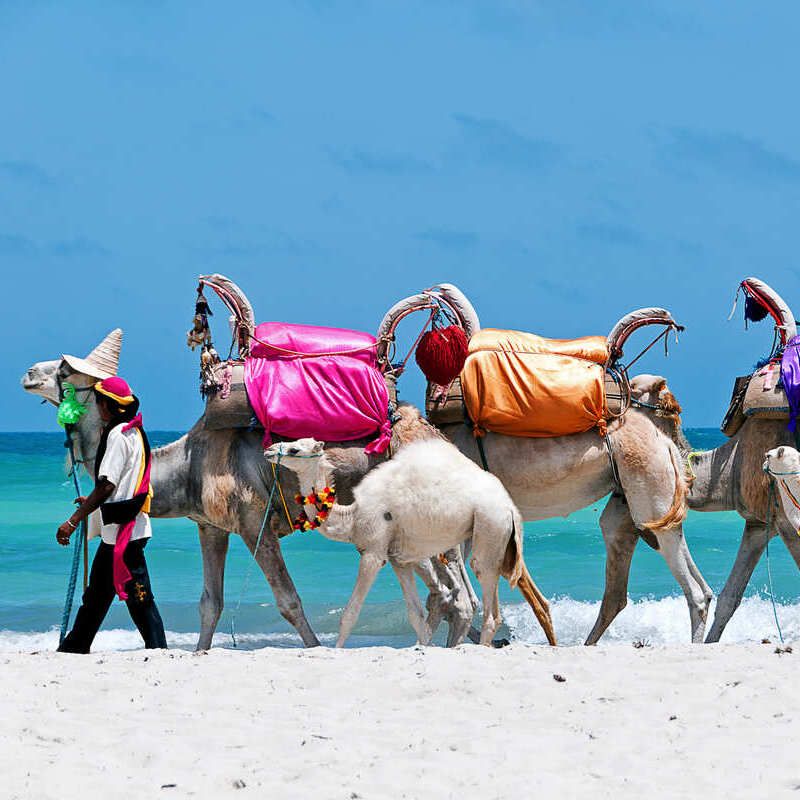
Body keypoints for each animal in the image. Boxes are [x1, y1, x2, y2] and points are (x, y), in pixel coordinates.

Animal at [264, 434, 556, 648]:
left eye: (295, 450)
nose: (268, 450)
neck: (353, 516)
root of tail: (511, 508)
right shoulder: (399, 560)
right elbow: (415, 614)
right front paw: (424, 647)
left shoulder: (373, 553)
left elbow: (350, 613)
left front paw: (335, 651)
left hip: (489, 524)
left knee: (488, 597)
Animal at [376, 288, 712, 644]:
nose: (382, 356)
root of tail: (666, 444)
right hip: (635, 499)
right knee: (644, 578)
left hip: (650, 488)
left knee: (693, 591)